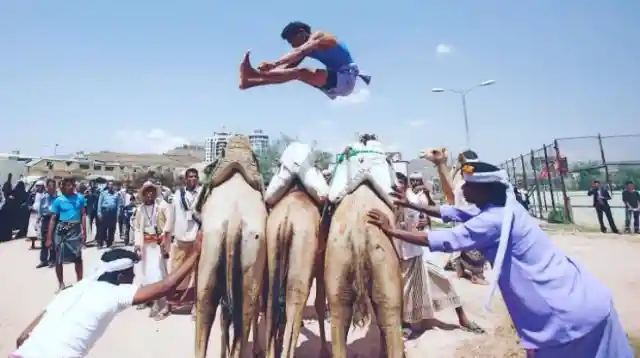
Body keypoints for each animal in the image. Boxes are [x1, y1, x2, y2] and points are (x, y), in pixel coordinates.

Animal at [262, 141, 330, 356]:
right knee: (295, 304)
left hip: (272, 247)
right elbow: (319, 303)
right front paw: (324, 351)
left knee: (272, 301)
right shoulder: (320, 262)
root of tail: (286, 222)